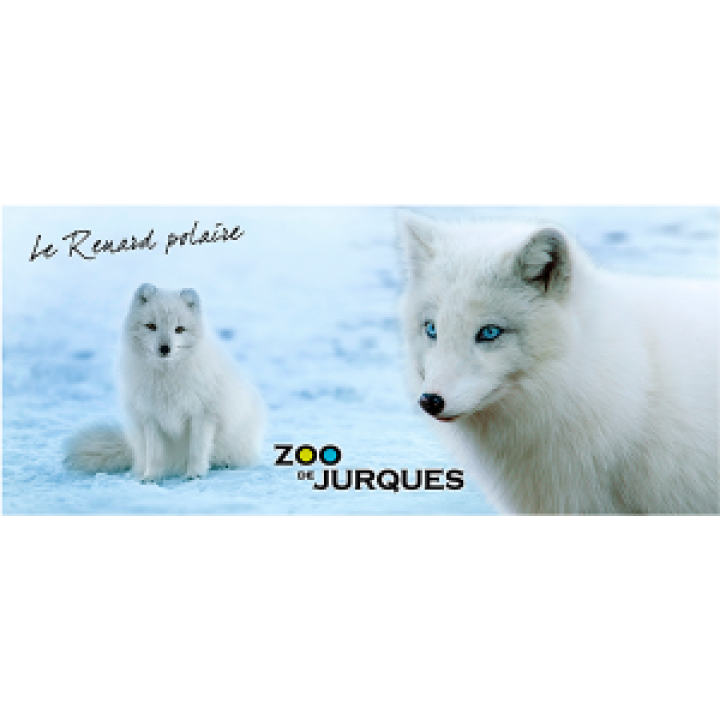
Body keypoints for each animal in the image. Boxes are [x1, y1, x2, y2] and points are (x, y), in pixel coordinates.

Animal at [65, 283, 264, 481]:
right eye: (151, 326)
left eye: (179, 329)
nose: (164, 348)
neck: (166, 378)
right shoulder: (151, 417)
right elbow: (155, 454)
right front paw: (151, 477)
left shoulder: (203, 414)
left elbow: (197, 450)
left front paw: (195, 474)